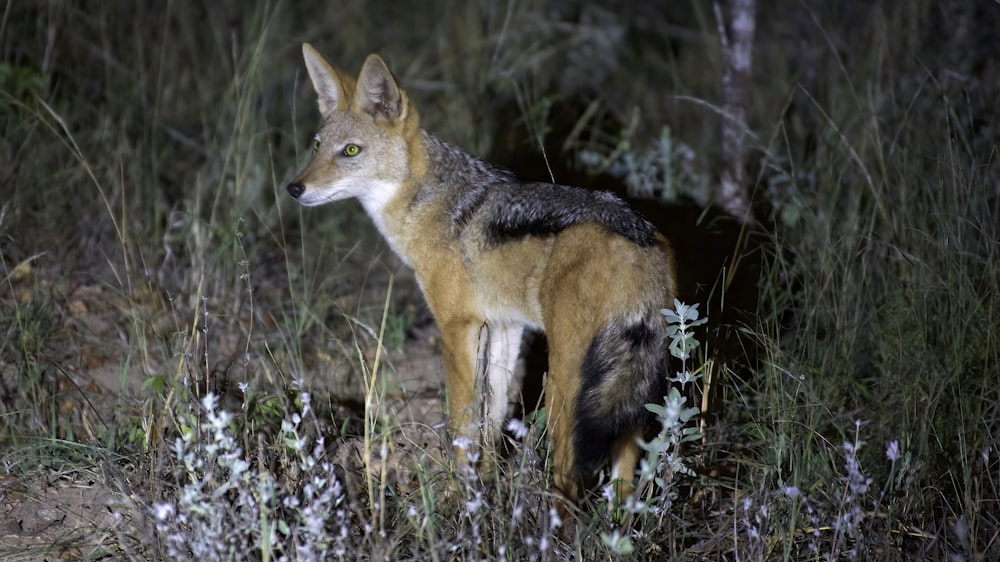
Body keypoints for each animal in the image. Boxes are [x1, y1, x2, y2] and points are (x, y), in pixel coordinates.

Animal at [290, 43, 680, 506]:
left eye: (350, 151)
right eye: (317, 146)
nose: (294, 188)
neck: (429, 205)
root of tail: (635, 233)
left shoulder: (457, 327)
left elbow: (461, 423)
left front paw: (461, 496)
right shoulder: (506, 327)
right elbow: (491, 420)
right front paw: (487, 486)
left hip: (567, 386)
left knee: (569, 480)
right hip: (618, 396)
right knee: (624, 480)